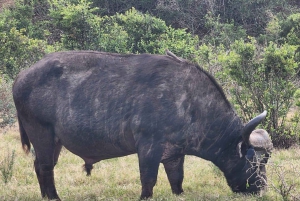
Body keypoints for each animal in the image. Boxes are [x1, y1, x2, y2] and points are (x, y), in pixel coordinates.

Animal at [12, 50, 274, 199]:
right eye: (255, 162)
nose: (261, 188)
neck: (190, 102)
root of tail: (21, 76)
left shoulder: (174, 154)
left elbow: (177, 179)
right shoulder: (149, 147)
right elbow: (148, 179)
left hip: (55, 141)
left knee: (40, 167)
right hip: (42, 135)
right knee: (45, 168)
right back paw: (53, 197)